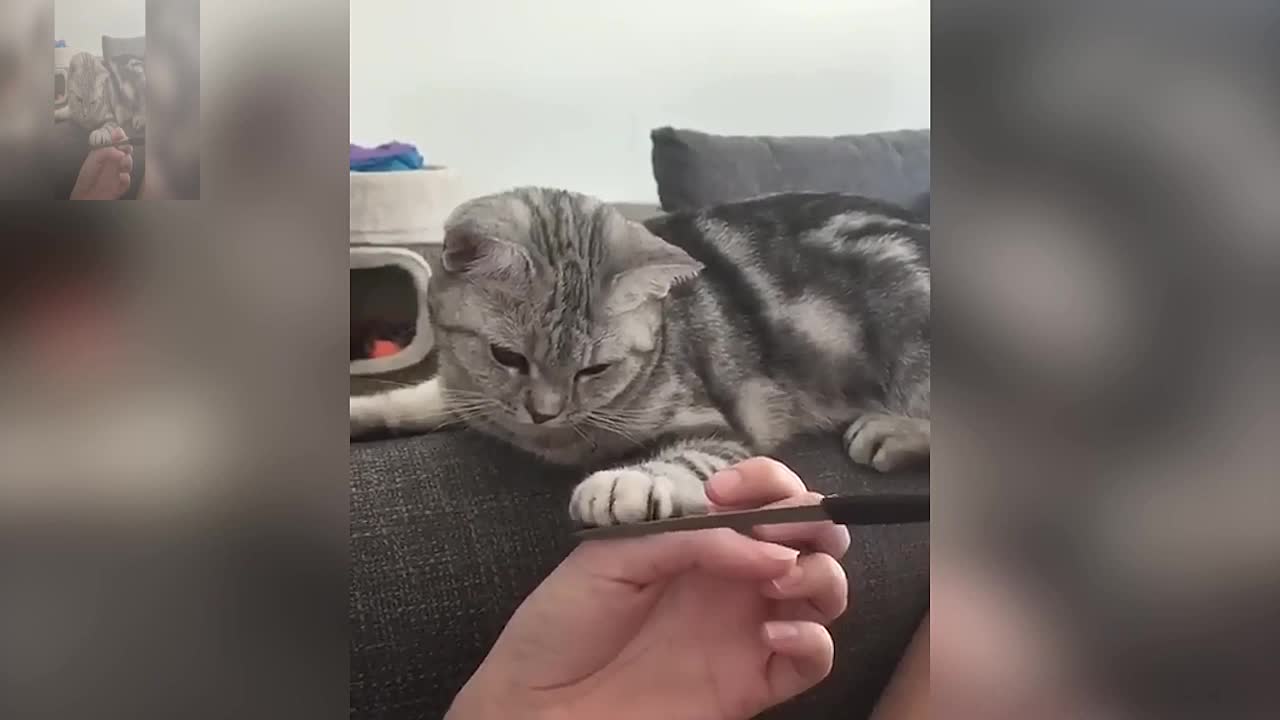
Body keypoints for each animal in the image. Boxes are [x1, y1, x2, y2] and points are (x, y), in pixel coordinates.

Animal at [350, 188, 931, 525]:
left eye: (594, 369)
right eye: (507, 357)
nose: (543, 412)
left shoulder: (725, 429)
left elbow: (686, 458)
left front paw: (629, 481)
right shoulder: (466, 393)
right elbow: (419, 397)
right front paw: (364, 410)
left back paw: (892, 431)